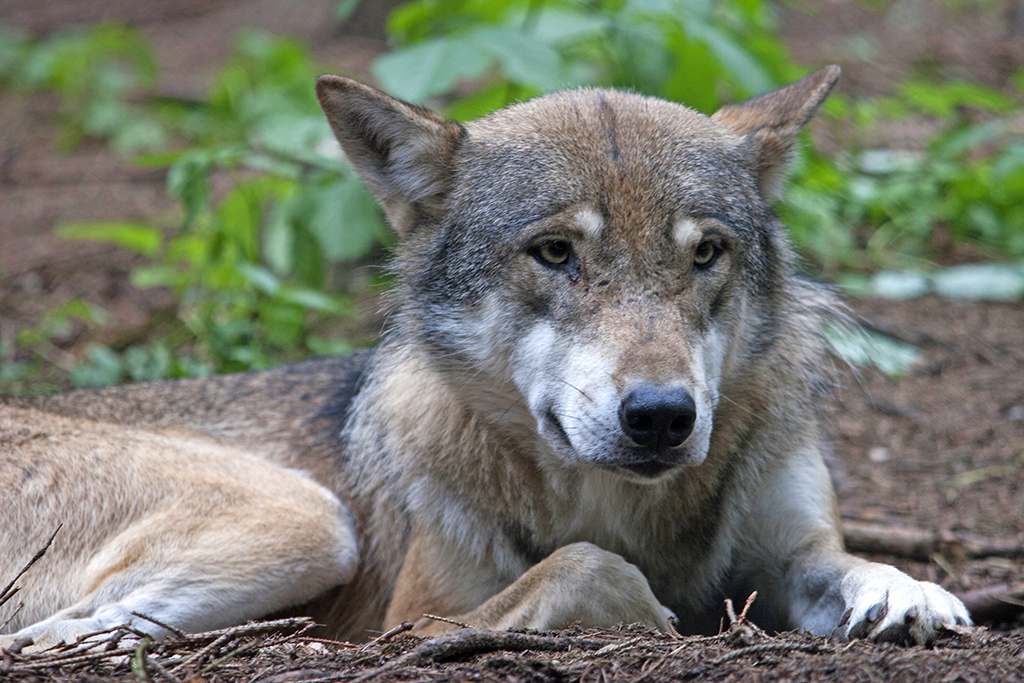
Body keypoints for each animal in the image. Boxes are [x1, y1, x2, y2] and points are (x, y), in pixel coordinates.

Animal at [0, 65, 966, 651]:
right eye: (555, 253)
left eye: (705, 254)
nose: (661, 416)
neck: (623, 506)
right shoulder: (413, 618)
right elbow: (581, 566)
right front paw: (648, 608)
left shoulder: (793, 539)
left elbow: (840, 561)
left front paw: (905, 588)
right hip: (309, 520)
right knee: (54, 639)